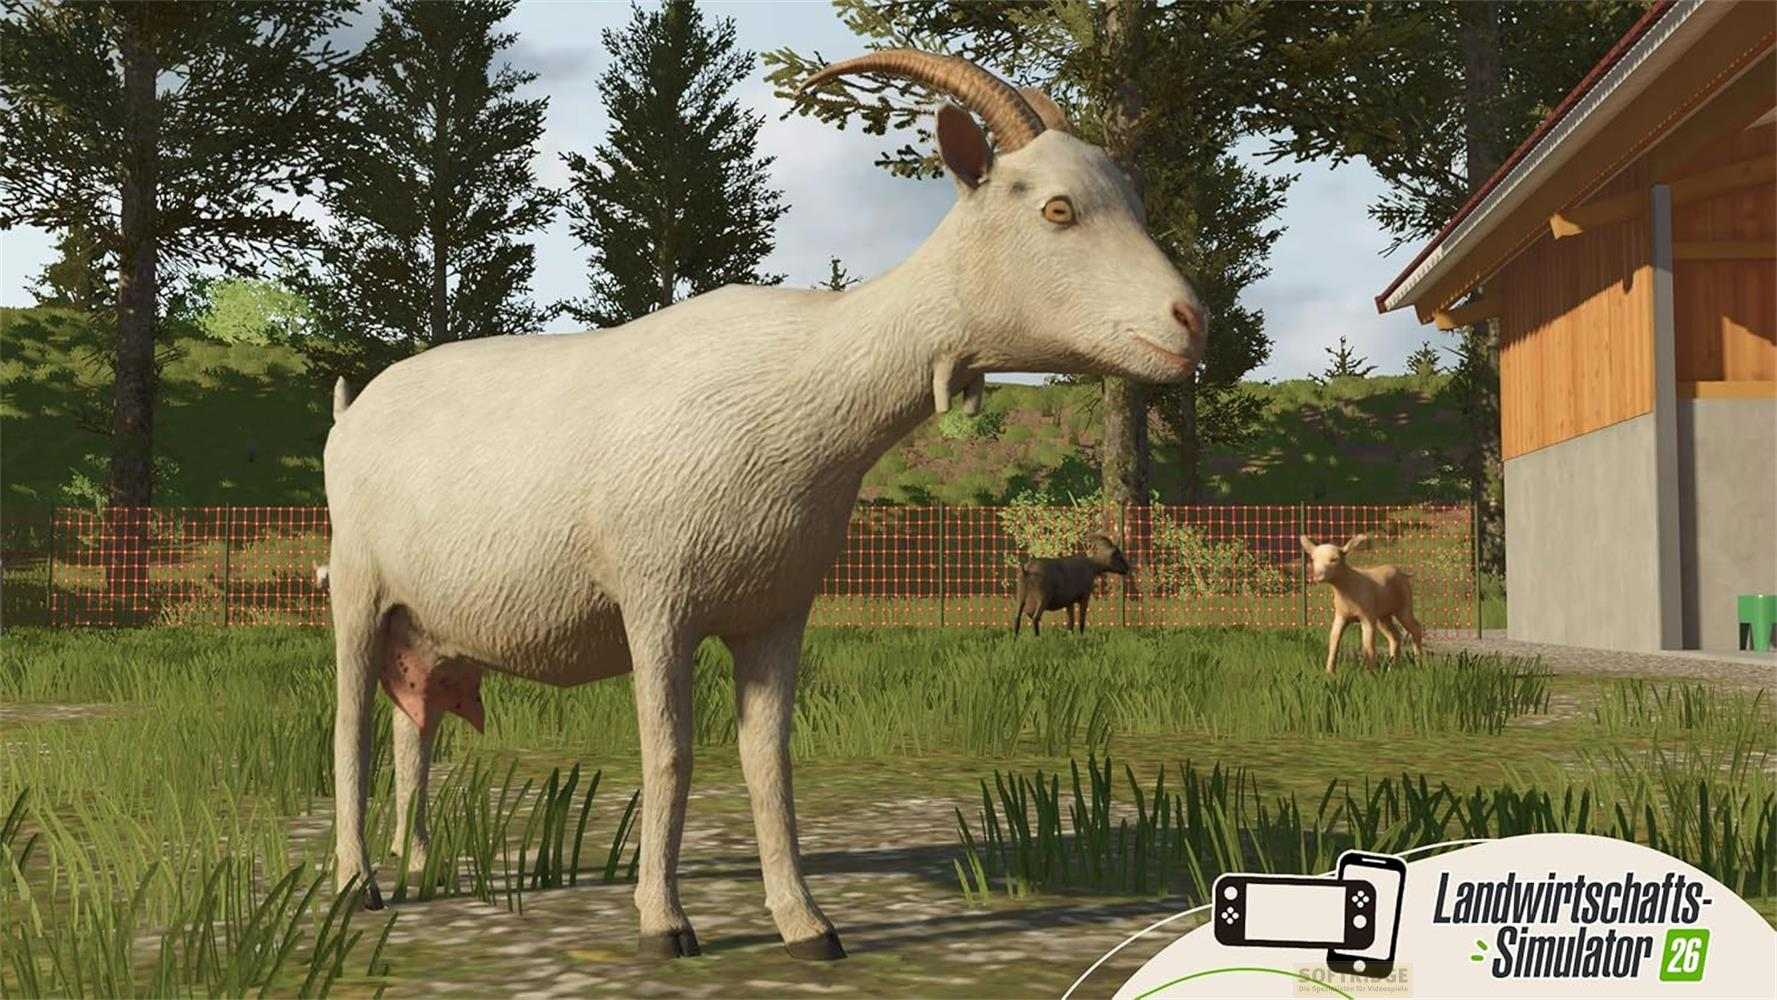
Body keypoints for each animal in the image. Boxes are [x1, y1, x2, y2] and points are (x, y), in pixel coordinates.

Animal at [322, 49, 1207, 963]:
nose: (1194, 323)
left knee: (414, 728)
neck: (803, 381)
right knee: (350, 728)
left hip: (428, 625)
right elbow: (669, 754)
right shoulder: (656, 601)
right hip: (356, 586)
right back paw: (359, 885)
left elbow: (767, 760)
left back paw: (420, 860)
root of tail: (351, 413)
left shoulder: (777, 610)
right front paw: (664, 922)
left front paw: (805, 924)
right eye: (1057, 208)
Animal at [1299, 534, 1425, 673]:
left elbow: (1368, 644)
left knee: (1416, 628)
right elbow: (1334, 640)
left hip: (1404, 605)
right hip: (1383, 615)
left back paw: (1418, 664)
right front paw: (1329, 672)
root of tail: (1402, 573)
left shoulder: (1367, 616)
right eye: (1313, 559)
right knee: (1395, 635)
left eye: (1334, 559)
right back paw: (1392, 668)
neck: (1348, 588)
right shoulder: (1341, 615)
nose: (1317, 575)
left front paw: (1372, 673)